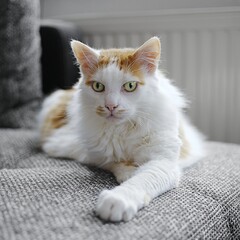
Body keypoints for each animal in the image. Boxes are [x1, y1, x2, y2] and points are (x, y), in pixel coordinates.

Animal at [37, 36, 204, 222]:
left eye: (130, 86)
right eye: (98, 87)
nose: (111, 106)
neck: (124, 128)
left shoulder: (163, 161)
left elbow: (143, 179)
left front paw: (117, 200)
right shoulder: (90, 152)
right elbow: (115, 163)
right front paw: (129, 172)